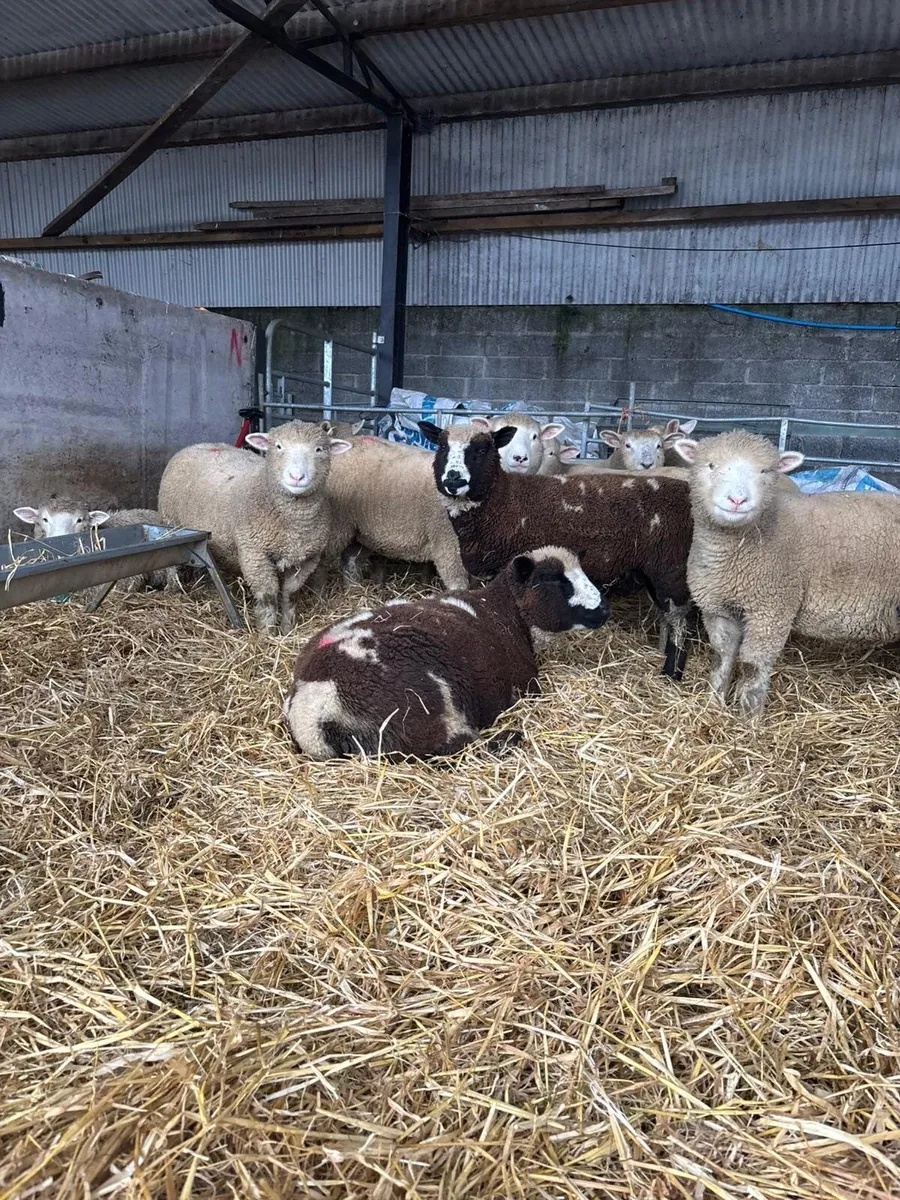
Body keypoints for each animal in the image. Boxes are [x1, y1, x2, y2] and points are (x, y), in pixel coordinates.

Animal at [159, 420, 350, 634]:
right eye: (278, 446)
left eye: (319, 449)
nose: (297, 477)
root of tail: (198, 444)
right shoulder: (255, 554)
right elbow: (268, 597)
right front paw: (267, 633)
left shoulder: (307, 558)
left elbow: (290, 594)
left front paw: (287, 628)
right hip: (170, 522)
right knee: (170, 562)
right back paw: (173, 587)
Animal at [284, 545, 609, 759]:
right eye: (555, 580)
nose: (604, 610)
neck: (502, 611)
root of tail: (312, 711)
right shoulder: (527, 683)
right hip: (423, 713)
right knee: (455, 746)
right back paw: (508, 739)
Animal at [419, 417, 695, 680]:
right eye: (441, 447)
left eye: (482, 449)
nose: (454, 479)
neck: (503, 500)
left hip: (671, 570)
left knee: (680, 624)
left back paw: (671, 673)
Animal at [675, 429, 900, 718]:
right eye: (711, 465)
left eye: (764, 471)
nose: (737, 500)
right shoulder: (717, 608)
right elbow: (722, 656)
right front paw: (714, 702)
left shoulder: (772, 609)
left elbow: (753, 666)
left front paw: (748, 720)